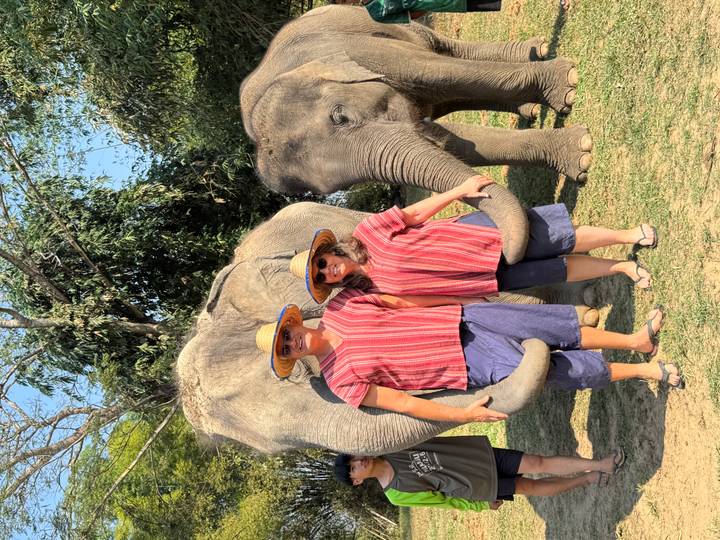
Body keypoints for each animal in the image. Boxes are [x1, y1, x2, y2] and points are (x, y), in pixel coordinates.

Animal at [239, 4, 593, 264]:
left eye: (340, 117)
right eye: (340, 187)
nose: (509, 254)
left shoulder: (361, 50)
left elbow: (434, 71)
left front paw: (567, 87)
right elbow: (456, 141)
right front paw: (580, 156)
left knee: (443, 52)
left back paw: (540, 52)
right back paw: (529, 107)